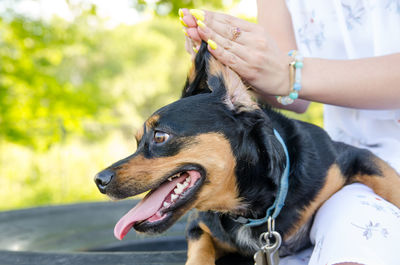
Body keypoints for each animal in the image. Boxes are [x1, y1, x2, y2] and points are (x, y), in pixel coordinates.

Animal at [94, 41, 400, 262]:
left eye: (159, 136)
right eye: (137, 141)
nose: (98, 180)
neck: (250, 208)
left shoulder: (353, 157)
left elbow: (390, 183)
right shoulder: (198, 227)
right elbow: (199, 252)